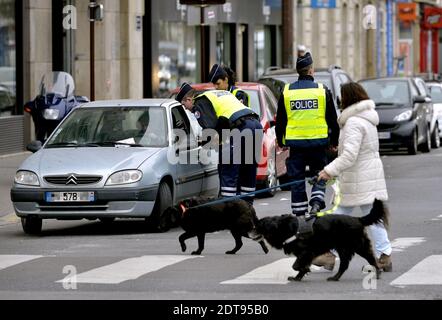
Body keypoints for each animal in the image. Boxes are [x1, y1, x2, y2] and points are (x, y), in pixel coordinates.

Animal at [254, 200, 388, 282]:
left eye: (259, 225)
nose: (252, 229)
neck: (284, 228)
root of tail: (358, 219)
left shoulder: (306, 252)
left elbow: (295, 265)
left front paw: (302, 271)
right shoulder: (304, 254)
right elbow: (300, 265)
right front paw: (299, 276)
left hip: (358, 246)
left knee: (370, 259)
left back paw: (377, 272)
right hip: (345, 248)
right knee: (345, 265)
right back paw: (335, 277)